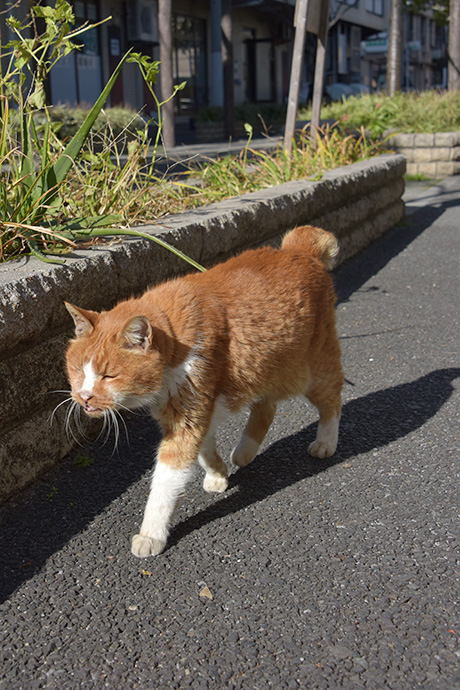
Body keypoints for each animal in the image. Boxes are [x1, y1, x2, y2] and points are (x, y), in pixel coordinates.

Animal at [66, 223, 344, 556]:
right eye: (78, 370)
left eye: (109, 376)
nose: (84, 397)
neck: (174, 340)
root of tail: (298, 249)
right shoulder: (197, 409)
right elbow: (204, 450)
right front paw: (218, 474)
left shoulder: (189, 414)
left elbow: (166, 482)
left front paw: (151, 534)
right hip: (263, 366)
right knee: (266, 405)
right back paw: (244, 452)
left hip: (314, 368)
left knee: (332, 400)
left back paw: (325, 442)